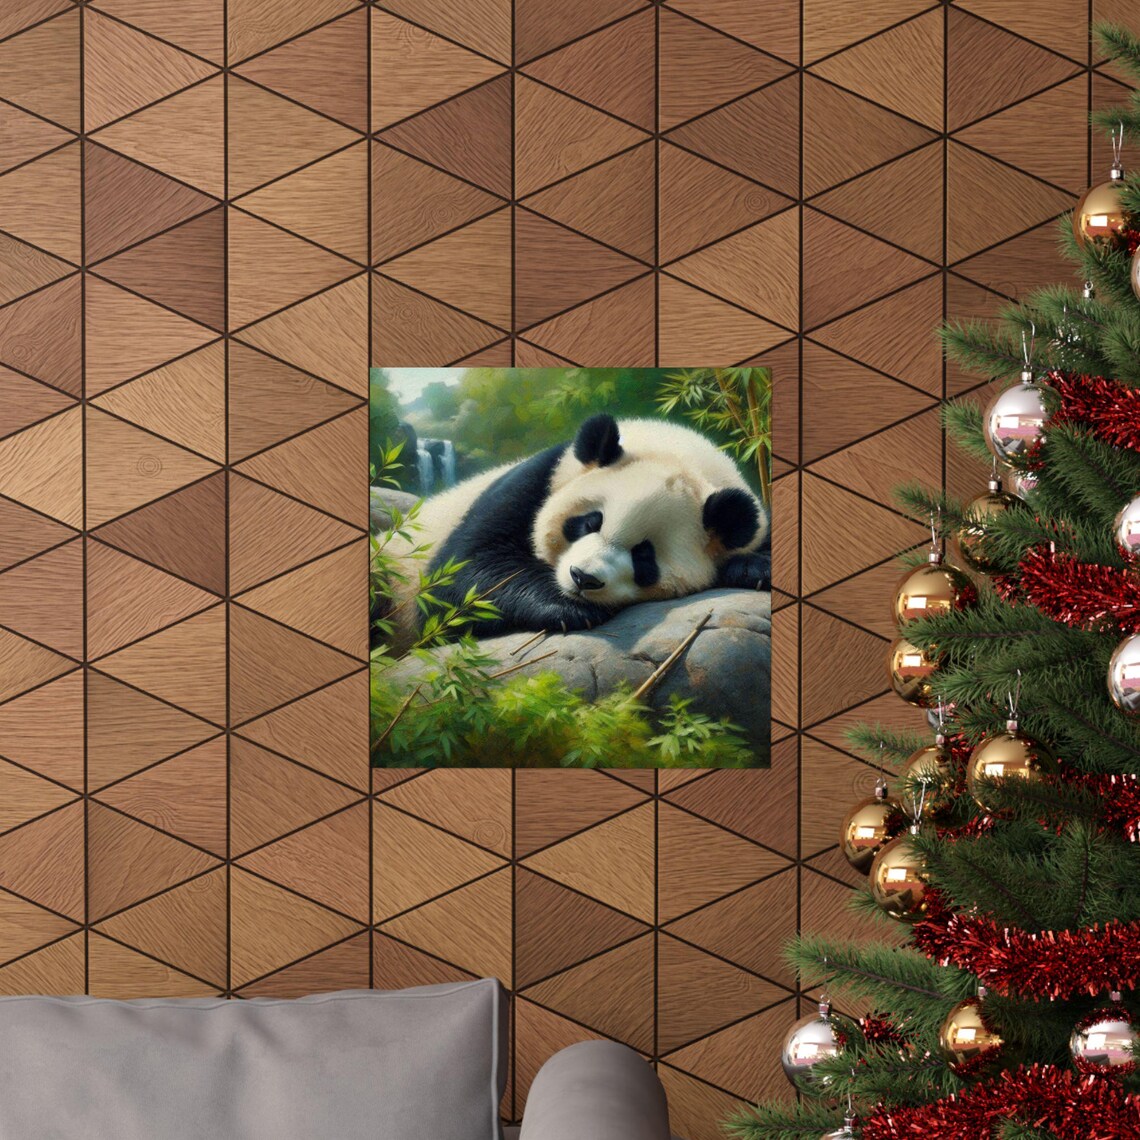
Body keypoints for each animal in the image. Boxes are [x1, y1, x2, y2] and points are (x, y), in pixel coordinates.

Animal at [383, 413, 770, 649]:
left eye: (644, 555)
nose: (584, 578)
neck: (675, 450)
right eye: (589, 522)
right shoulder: (536, 479)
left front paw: (753, 568)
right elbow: (462, 574)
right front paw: (565, 608)